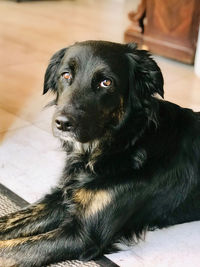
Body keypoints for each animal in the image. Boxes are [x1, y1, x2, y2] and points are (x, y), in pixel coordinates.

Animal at [0, 40, 200, 266]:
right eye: (66, 75)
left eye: (106, 82)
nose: (62, 123)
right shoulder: (62, 198)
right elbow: (8, 221)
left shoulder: (83, 235)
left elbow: (9, 249)